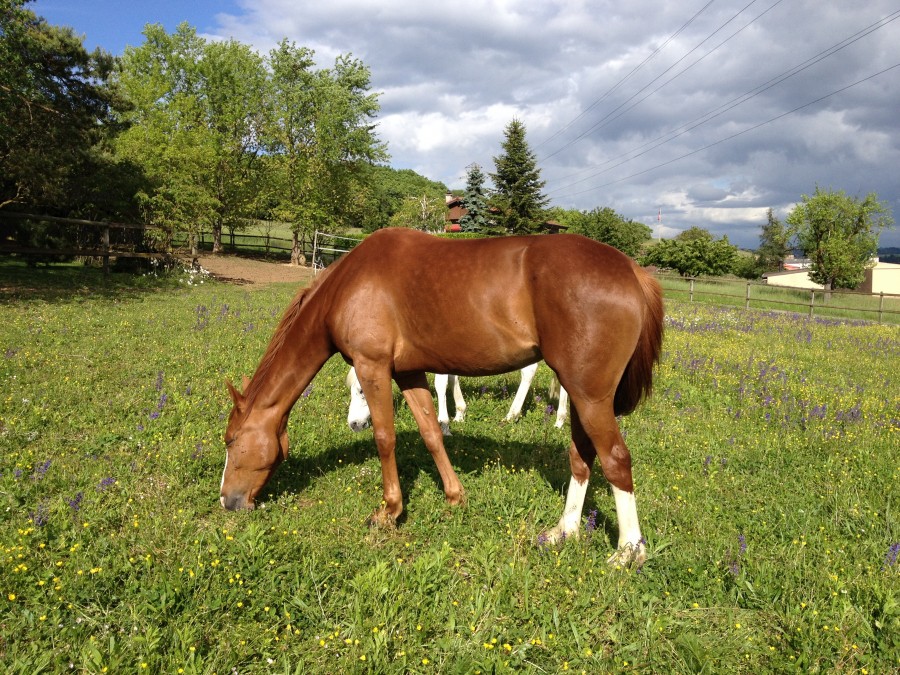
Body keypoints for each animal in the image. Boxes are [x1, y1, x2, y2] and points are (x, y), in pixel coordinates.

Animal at [346, 364, 568, 434]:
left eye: (361, 390)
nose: (353, 424)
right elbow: (452, 378)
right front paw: (460, 413)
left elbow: (441, 383)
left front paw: (444, 424)